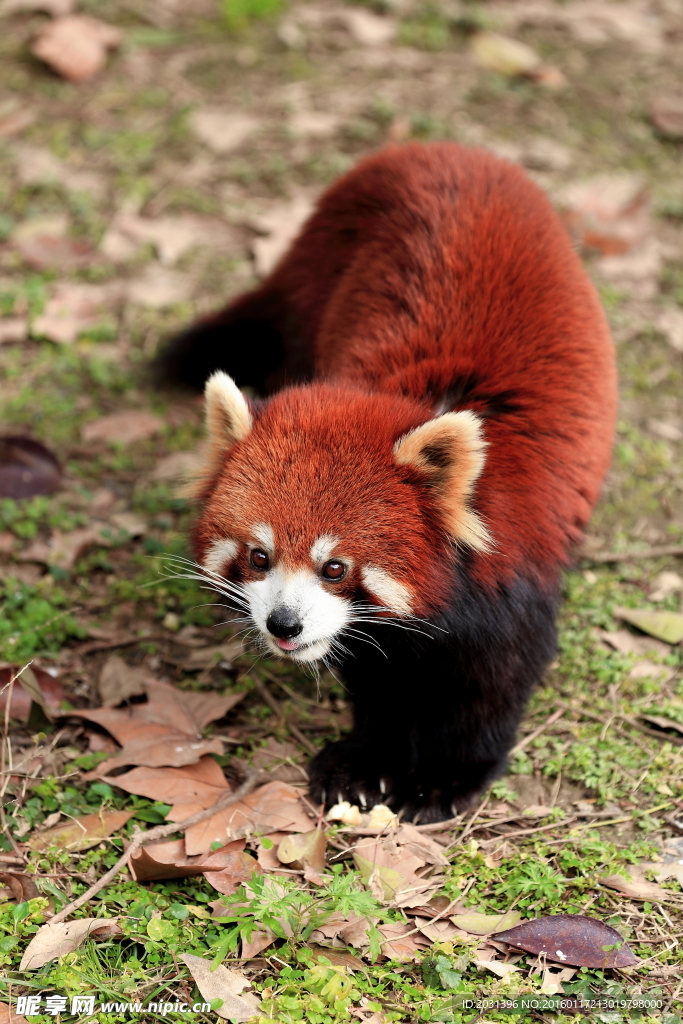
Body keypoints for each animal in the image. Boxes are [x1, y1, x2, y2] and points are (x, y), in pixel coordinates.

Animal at [157, 142, 618, 823]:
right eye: (259, 556)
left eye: (335, 567)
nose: (284, 626)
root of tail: (440, 147)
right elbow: (380, 678)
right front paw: (367, 762)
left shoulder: (515, 569)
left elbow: (491, 682)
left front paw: (446, 775)